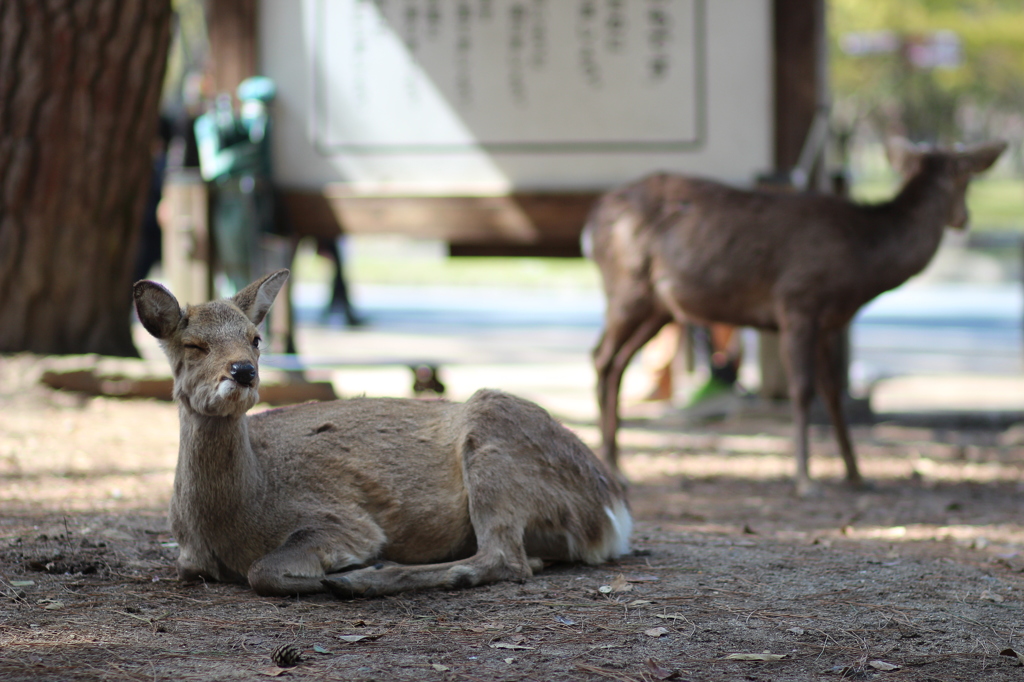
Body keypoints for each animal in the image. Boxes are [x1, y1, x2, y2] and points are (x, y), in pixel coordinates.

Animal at [134, 268, 630, 593]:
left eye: (255, 339)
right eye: (194, 345)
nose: (243, 372)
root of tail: (614, 512)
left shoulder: (343, 520)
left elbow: (264, 572)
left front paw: (334, 573)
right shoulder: (188, 559)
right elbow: (193, 570)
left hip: (496, 447)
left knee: (505, 557)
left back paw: (363, 579)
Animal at [585, 140, 1007, 497]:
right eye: (966, 179)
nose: (965, 218)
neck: (861, 262)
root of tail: (592, 223)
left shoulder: (828, 322)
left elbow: (833, 394)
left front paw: (856, 475)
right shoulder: (798, 300)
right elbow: (803, 390)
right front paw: (805, 480)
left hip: (660, 307)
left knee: (618, 362)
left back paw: (618, 465)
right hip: (627, 286)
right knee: (601, 356)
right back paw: (611, 464)